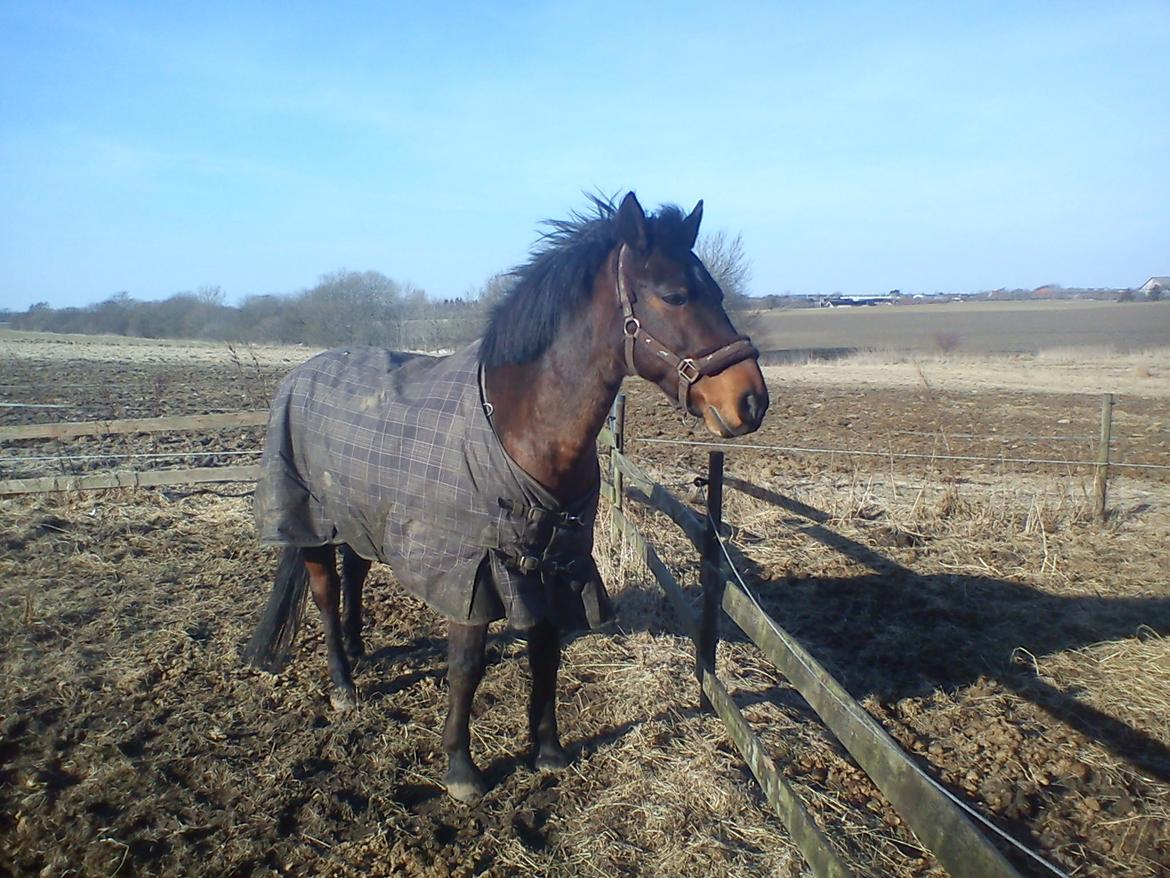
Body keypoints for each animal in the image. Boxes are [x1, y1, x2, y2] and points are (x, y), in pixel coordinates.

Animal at [241, 191, 767, 805]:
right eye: (675, 295)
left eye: (718, 294)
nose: (752, 401)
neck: (524, 426)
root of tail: (301, 373)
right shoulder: (473, 572)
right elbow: (467, 668)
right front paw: (461, 769)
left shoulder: (556, 564)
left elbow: (547, 653)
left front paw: (548, 751)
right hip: (312, 522)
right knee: (326, 593)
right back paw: (344, 684)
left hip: (359, 515)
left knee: (356, 573)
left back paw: (361, 646)